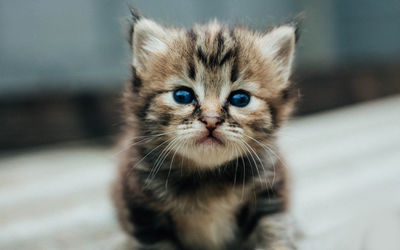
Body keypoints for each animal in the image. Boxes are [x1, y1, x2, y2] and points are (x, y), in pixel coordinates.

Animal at [112, 7, 300, 250]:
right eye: (182, 96)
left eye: (240, 99)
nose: (211, 120)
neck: (208, 178)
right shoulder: (143, 210)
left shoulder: (270, 195)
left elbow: (274, 231)